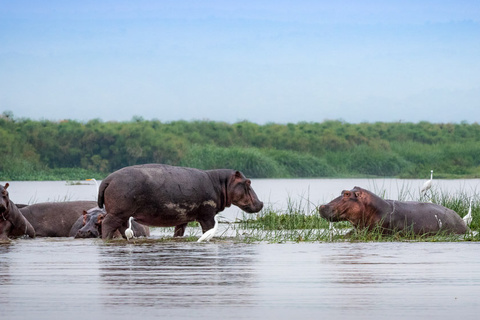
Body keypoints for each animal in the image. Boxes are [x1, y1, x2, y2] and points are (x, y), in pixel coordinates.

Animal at [96, 164, 262, 239]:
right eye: (248, 182)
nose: (261, 203)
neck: (221, 183)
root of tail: (107, 179)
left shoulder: (183, 217)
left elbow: (178, 232)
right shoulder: (207, 215)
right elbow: (207, 230)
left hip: (123, 214)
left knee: (123, 228)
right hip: (117, 212)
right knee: (108, 224)